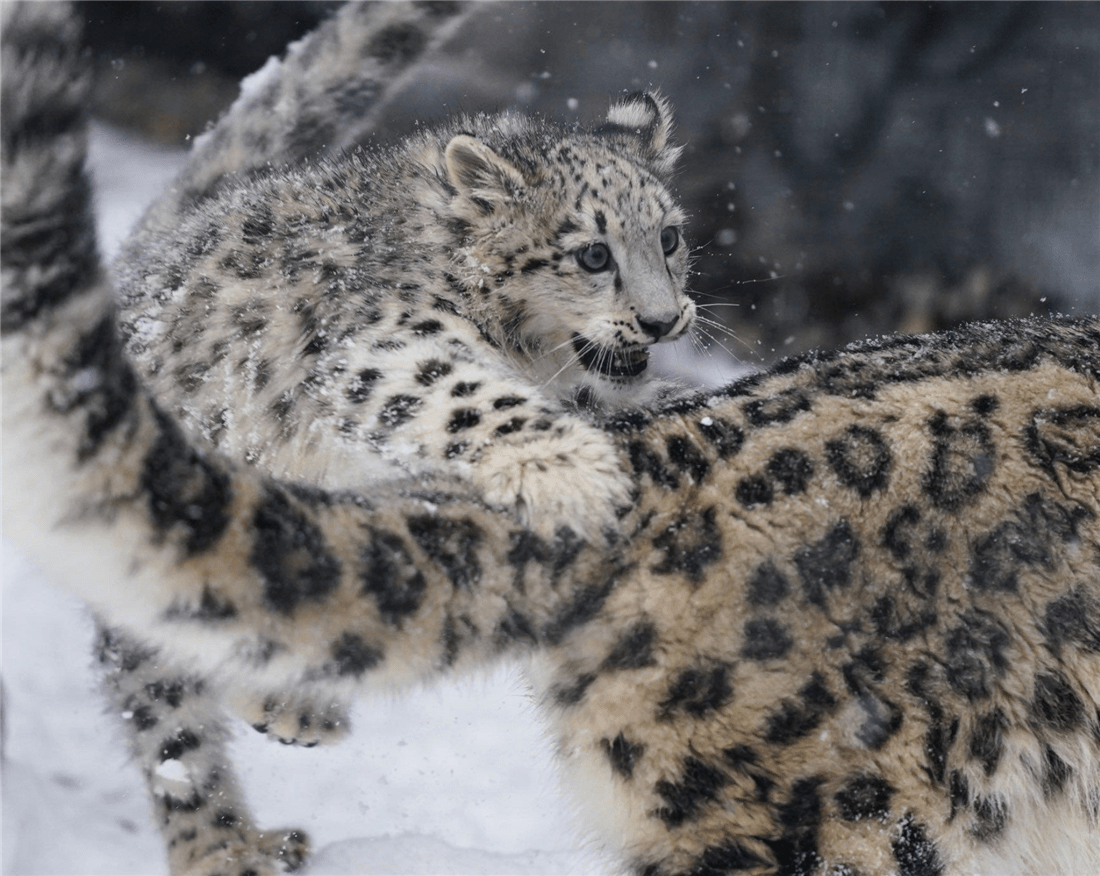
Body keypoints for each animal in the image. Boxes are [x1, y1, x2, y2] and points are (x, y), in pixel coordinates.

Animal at [2, 1, 1100, 876]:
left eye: (669, 236)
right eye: (588, 253)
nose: (662, 319)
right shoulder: (384, 342)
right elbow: (457, 392)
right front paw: (577, 473)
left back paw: (299, 705)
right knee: (166, 707)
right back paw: (227, 839)